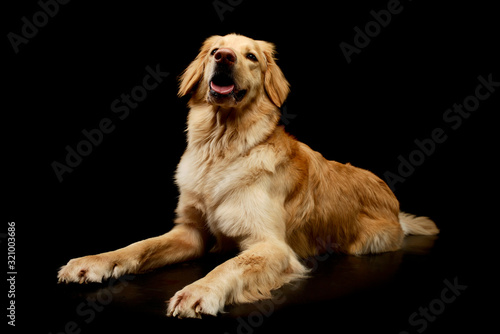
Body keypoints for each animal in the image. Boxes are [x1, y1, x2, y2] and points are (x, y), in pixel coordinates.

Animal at [57, 34, 438, 318]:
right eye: (216, 50)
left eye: (251, 56)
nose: (224, 57)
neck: (222, 146)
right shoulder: (190, 233)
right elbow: (139, 246)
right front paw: (93, 262)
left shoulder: (271, 245)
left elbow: (229, 266)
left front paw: (199, 290)